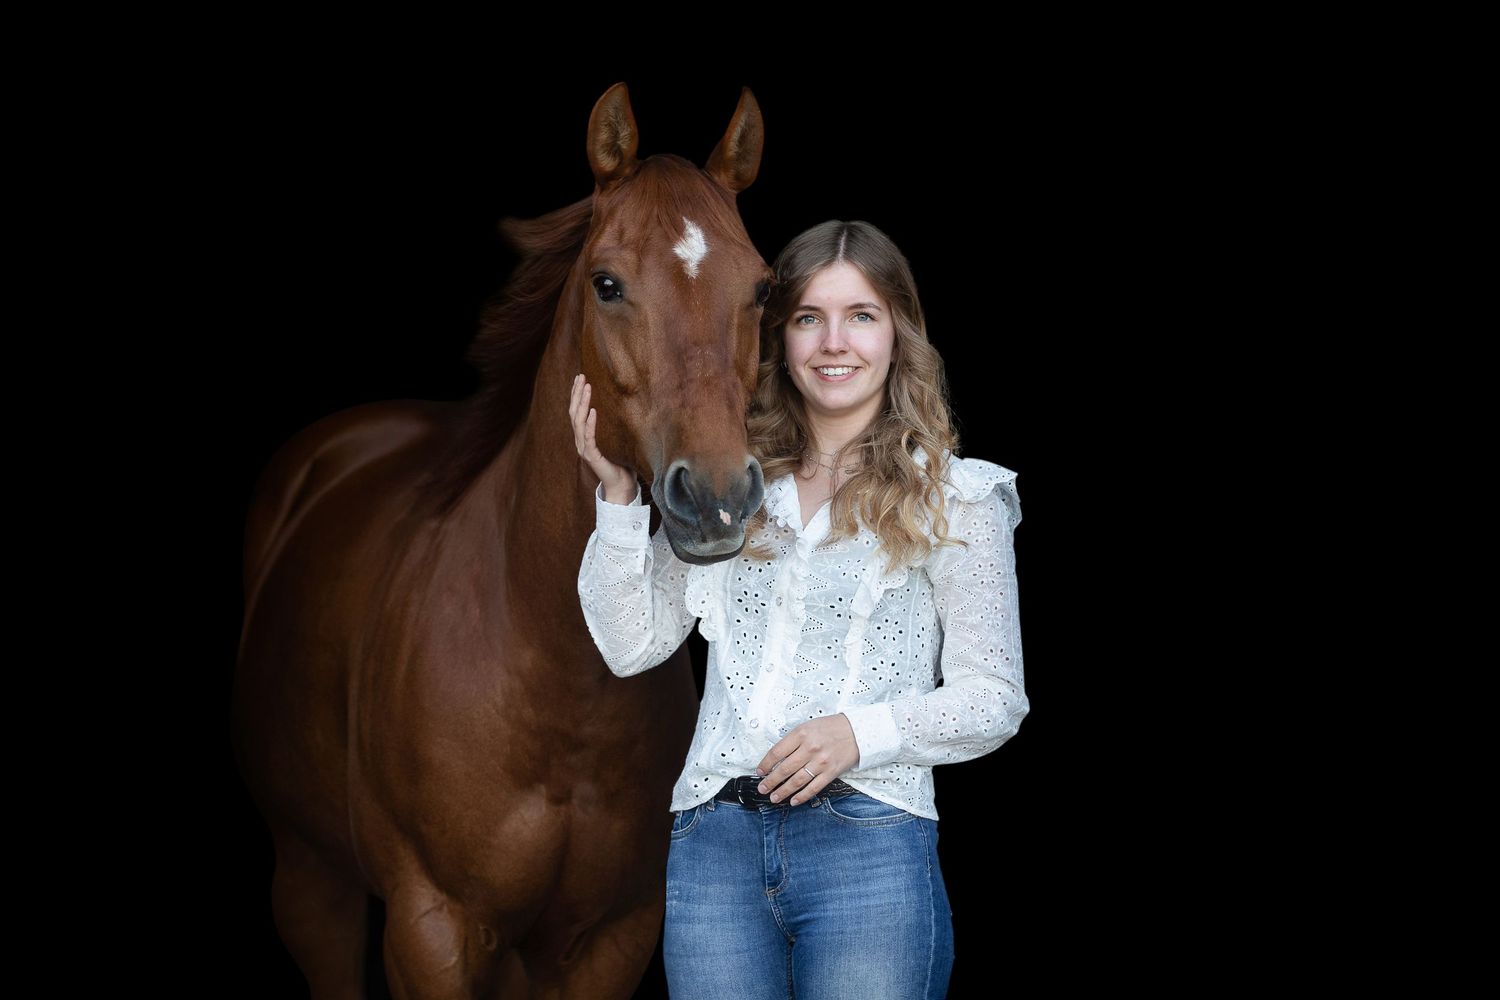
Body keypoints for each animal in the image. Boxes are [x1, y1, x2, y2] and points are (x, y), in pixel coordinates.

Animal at [232, 81, 770, 999]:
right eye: (607, 283)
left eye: (761, 290)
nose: (718, 498)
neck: (554, 677)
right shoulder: (432, 929)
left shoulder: (614, 935)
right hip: (310, 880)